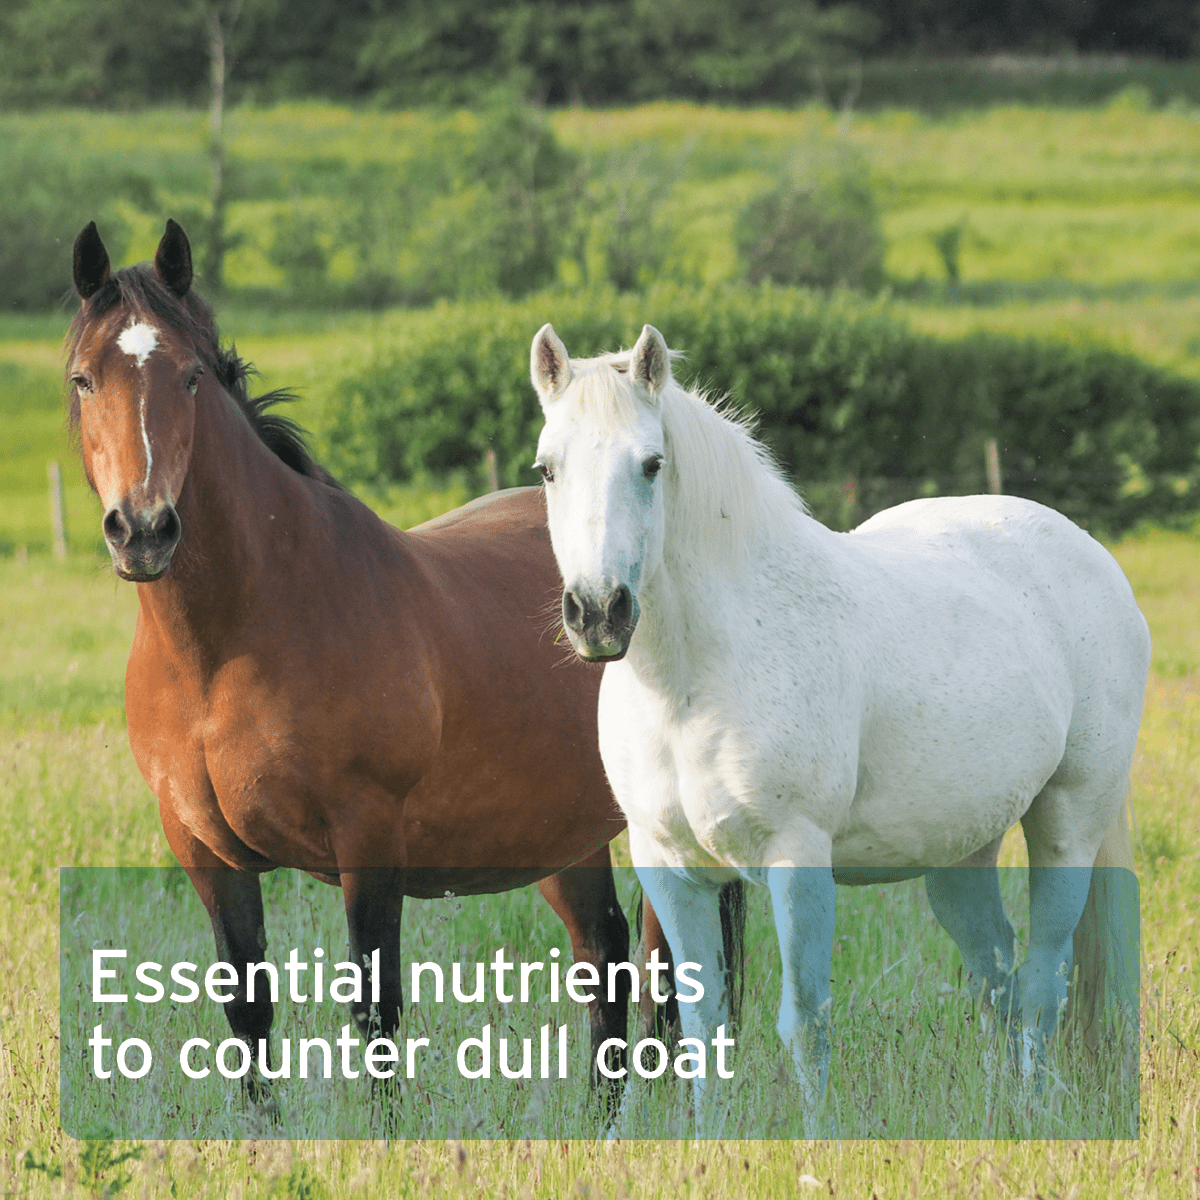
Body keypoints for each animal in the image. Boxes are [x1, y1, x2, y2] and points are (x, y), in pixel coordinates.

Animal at [65, 218, 741, 1119]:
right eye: (82, 379)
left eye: (191, 375)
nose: (142, 530)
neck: (229, 645)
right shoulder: (206, 851)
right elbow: (247, 1008)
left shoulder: (368, 836)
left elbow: (375, 1008)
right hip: (566, 834)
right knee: (605, 954)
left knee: (670, 969)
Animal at [529, 320, 1148, 1130]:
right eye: (547, 469)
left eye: (651, 463)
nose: (599, 612)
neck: (696, 680)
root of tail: (1091, 555)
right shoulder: (669, 868)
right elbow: (700, 1028)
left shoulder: (798, 860)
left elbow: (805, 1022)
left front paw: (819, 1141)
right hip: (959, 857)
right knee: (998, 978)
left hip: (1068, 824)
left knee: (1043, 982)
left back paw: (1036, 1121)